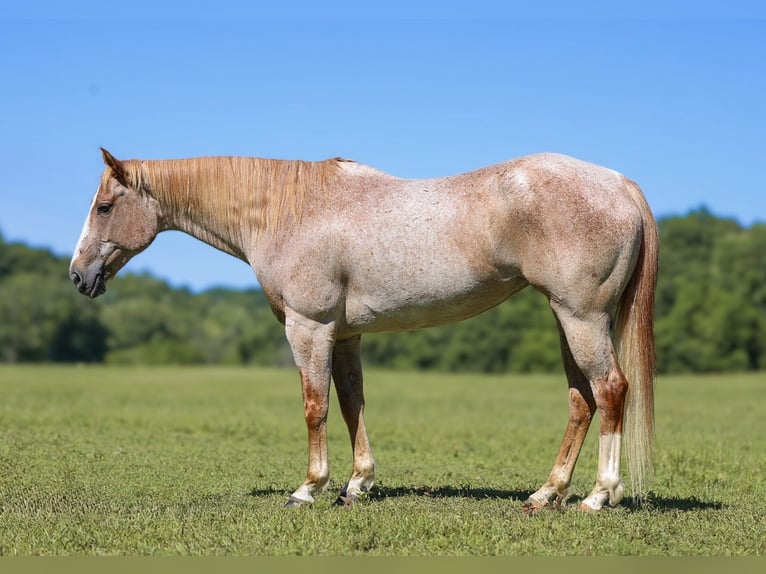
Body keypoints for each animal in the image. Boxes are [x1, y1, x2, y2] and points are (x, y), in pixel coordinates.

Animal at [70, 148, 658, 512]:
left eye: (104, 207)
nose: (78, 275)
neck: (290, 211)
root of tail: (620, 184)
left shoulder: (309, 329)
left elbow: (315, 407)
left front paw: (309, 488)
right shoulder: (345, 335)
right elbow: (352, 403)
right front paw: (357, 484)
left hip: (581, 318)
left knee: (610, 391)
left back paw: (598, 496)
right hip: (569, 320)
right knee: (582, 400)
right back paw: (545, 494)